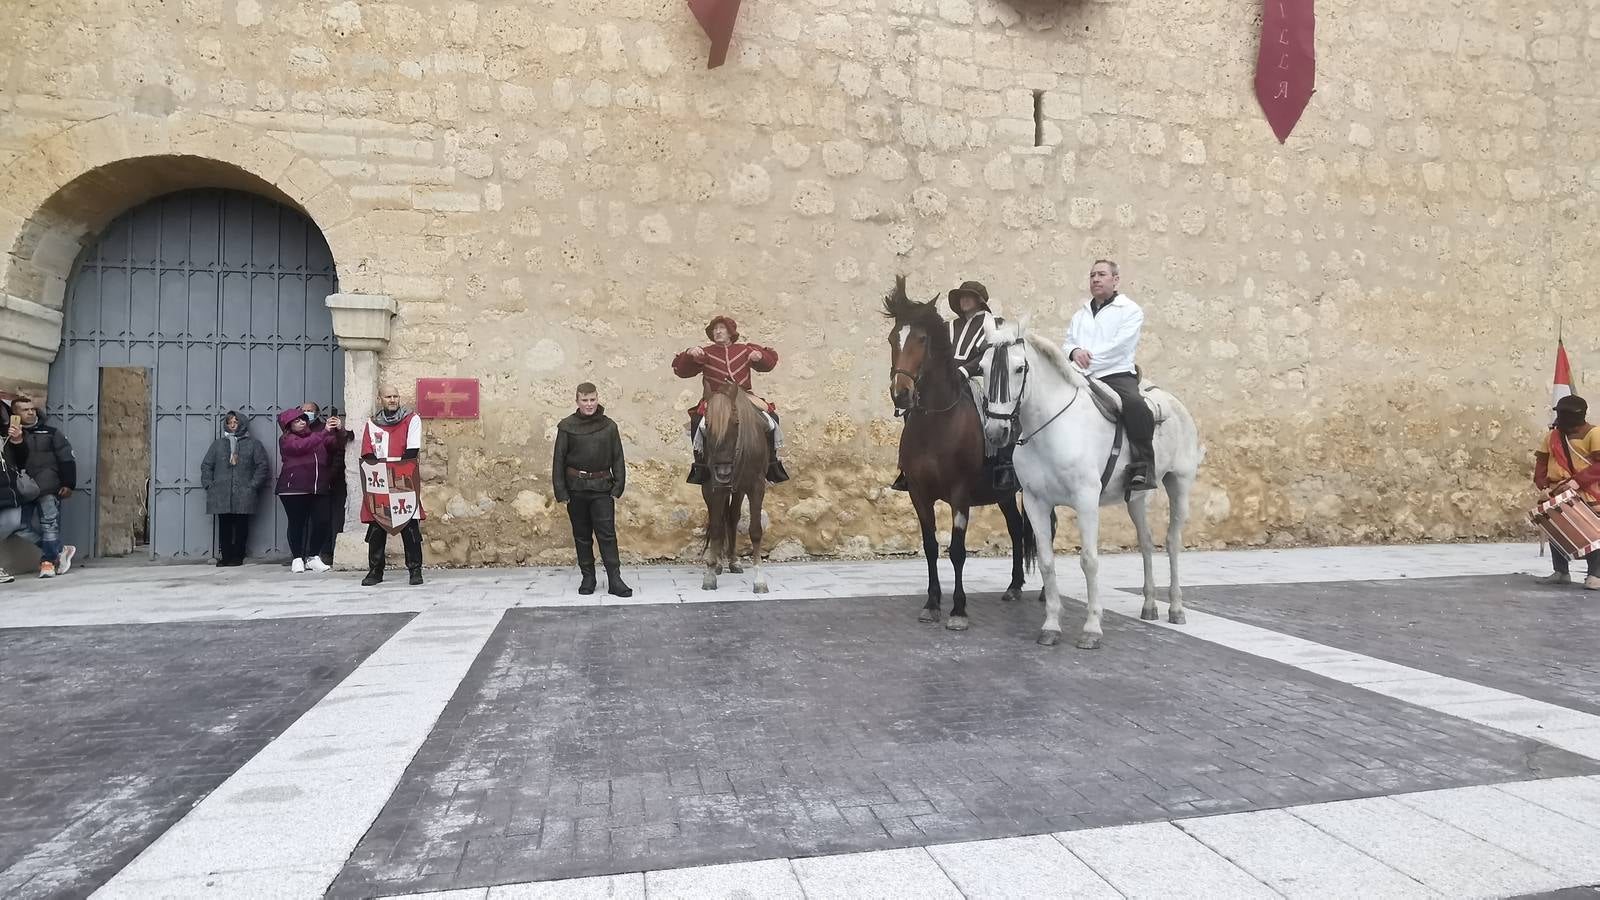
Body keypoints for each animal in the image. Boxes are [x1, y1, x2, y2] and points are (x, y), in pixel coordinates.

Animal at [704, 376, 771, 589]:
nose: (723, 472)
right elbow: (716, 528)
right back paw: (719, 563)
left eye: (736, 422)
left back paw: (733, 561)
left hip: (739, 489)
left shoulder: (756, 486)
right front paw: (710, 574)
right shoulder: (714, 488)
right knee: (720, 519)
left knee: (733, 517)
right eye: (706, 424)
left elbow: (755, 530)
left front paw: (759, 579)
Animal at [883, 275, 1030, 630]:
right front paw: (932, 603)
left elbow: (958, 550)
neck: (936, 424)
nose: (901, 394)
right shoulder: (919, 493)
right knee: (1016, 528)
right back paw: (1014, 586)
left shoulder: (960, 493)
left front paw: (958, 610)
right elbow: (930, 546)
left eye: (922, 339)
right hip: (1005, 494)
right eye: (894, 338)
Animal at [972, 315, 1203, 643]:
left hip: (1179, 484)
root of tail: (1174, 403)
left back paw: (1176, 608)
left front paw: (1092, 628)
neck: (1051, 428)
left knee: (1172, 542)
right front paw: (1051, 625)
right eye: (984, 367)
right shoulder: (1035, 503)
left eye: (1019, 368)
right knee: (1146, 542)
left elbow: (1089, 561)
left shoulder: (1085, 501)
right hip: (1136, 498)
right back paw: (1149, 605)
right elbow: (1046, 562)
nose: (995, 432)